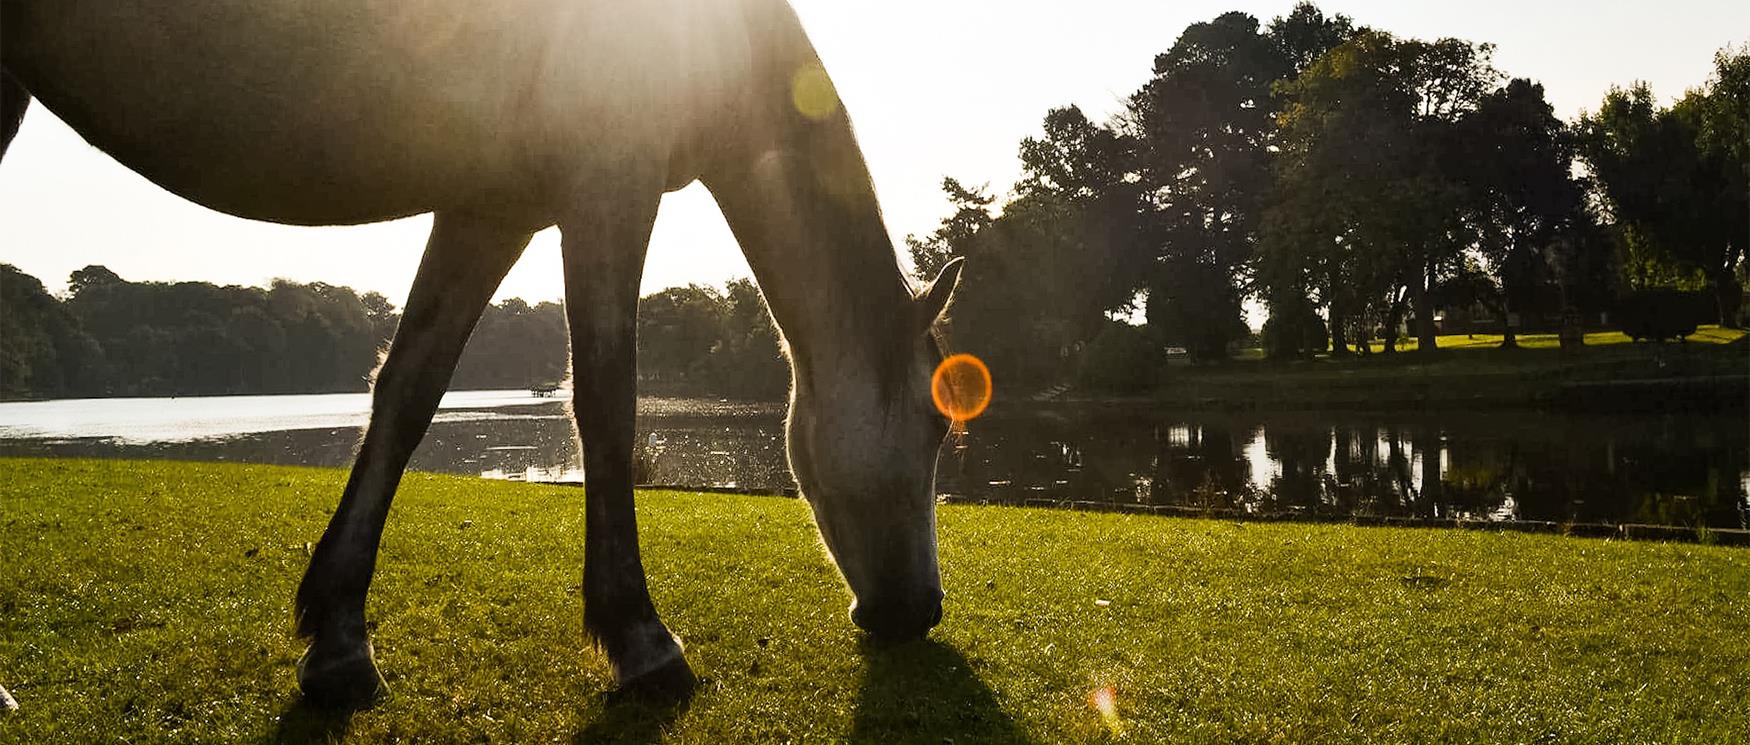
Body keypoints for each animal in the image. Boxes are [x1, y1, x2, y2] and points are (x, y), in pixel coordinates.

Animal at [0, 0, 966, 703]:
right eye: (937, 423)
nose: (919, 610)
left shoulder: (489, 209)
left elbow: (409, 391)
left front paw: (340, 641)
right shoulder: (606, 185)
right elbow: (607, 405)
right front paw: (642, 640)